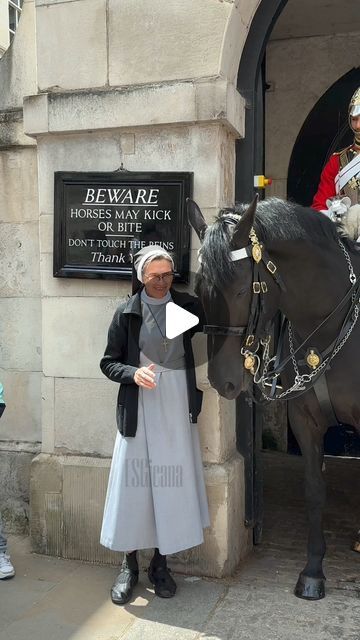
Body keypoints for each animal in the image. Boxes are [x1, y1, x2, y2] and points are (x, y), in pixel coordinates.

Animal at [188, 195, 360, 600]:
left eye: (240, 290)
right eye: (199, 288)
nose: (222, 380)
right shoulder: (305, 420)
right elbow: (314, 490)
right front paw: (313, 572)